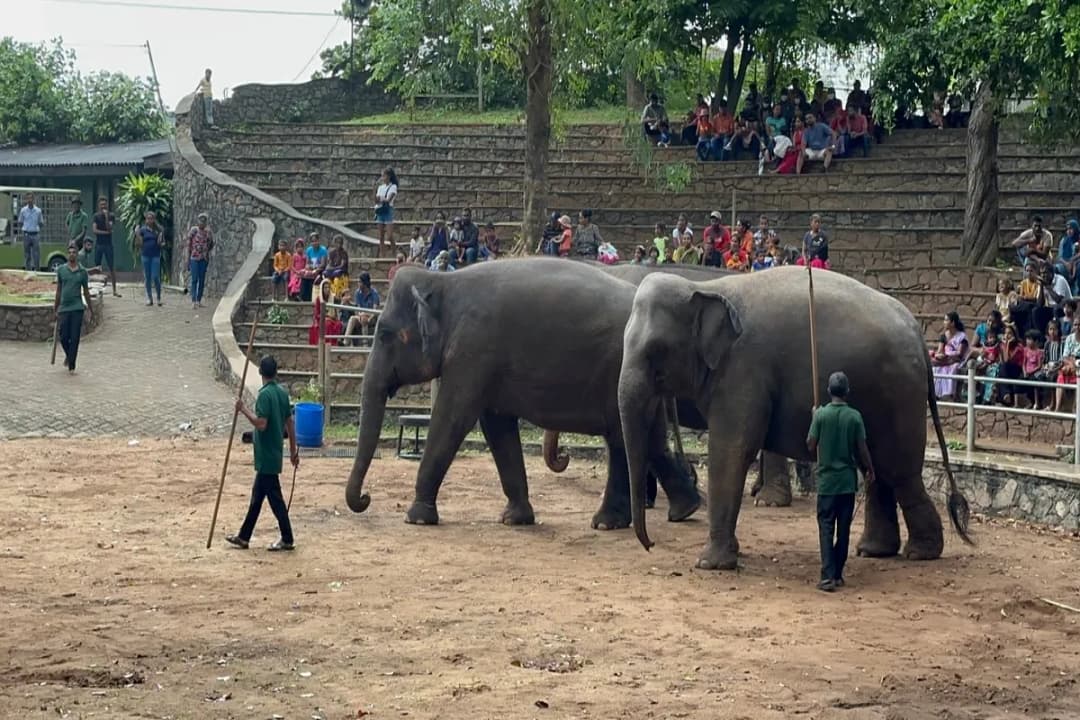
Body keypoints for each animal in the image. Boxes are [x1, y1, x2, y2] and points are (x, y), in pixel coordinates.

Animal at [344, 258, 702, 529]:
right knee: (640, 440)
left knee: (628, 438)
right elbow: (497, 426)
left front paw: (416, 518)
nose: (365, 499)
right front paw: (515, 519)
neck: (444, 281)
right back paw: (676, 511)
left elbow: (453, 418)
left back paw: (619, 520)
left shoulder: (473, 350)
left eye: (384, 334)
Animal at [617, 266, 973, 571]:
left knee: (898, 470)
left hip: (899, 395)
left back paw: (920, 553)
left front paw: (709, 565)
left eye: (655, 350)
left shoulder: (743, 369)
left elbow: (731, 450)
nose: (650, 545)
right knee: (878, 469)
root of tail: (918, 334)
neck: (705, 287)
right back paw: (874, 551)